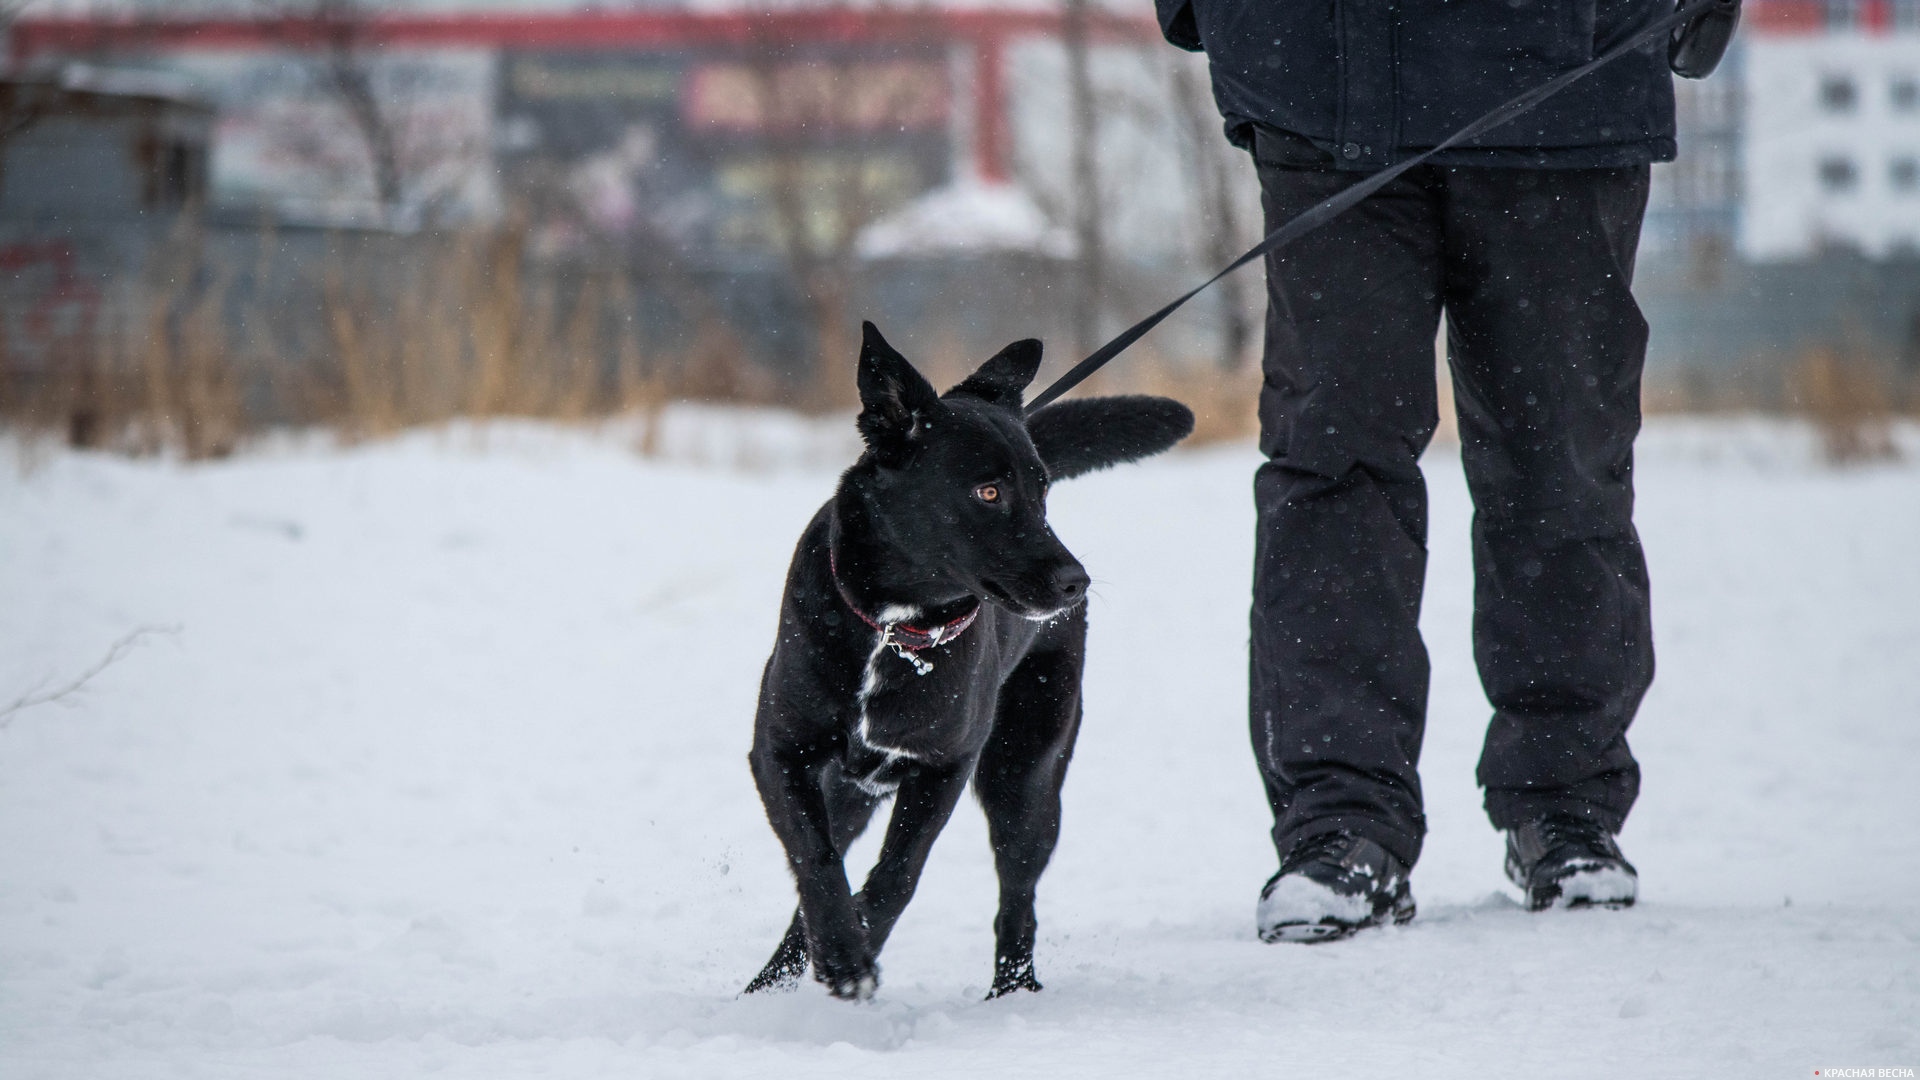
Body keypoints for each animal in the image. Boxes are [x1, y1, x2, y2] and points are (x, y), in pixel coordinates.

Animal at [741, 320, 1190, 999]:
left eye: (1042, 488)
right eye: (988, 490)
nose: (1076, 582)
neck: (897, 629)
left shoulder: (945, 768)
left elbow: (899, 873)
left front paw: (863, 942)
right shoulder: (781, 754)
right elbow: (815, 861)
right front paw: (844, 956)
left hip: (1024, 775)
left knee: (1018, 894)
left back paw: (1012, 993)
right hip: (852, 790)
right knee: (824, 869)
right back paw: (772, 984)